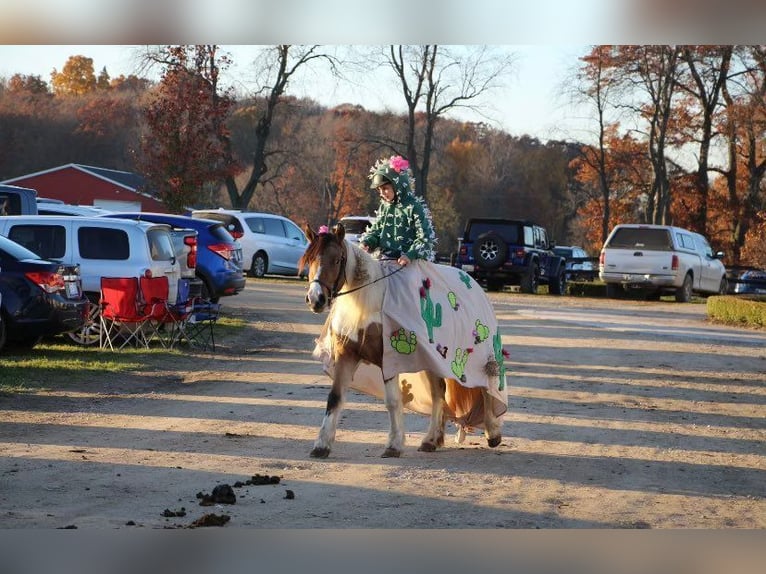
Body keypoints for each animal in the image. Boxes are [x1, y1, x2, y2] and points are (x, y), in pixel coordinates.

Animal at [300, 223, 510, 462]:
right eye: (309, 259)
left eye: (336, 260)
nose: (315, 299)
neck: (369, 303)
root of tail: (471, 281)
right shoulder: (347, 356)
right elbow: (334, 398)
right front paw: (321, 445)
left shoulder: (389, 360)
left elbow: (392, 401)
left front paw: (394, 445)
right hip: (433, 361)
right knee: (439, 393)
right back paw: (431, 440)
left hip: (477, 358)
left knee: (486, 388)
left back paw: (492, 432)